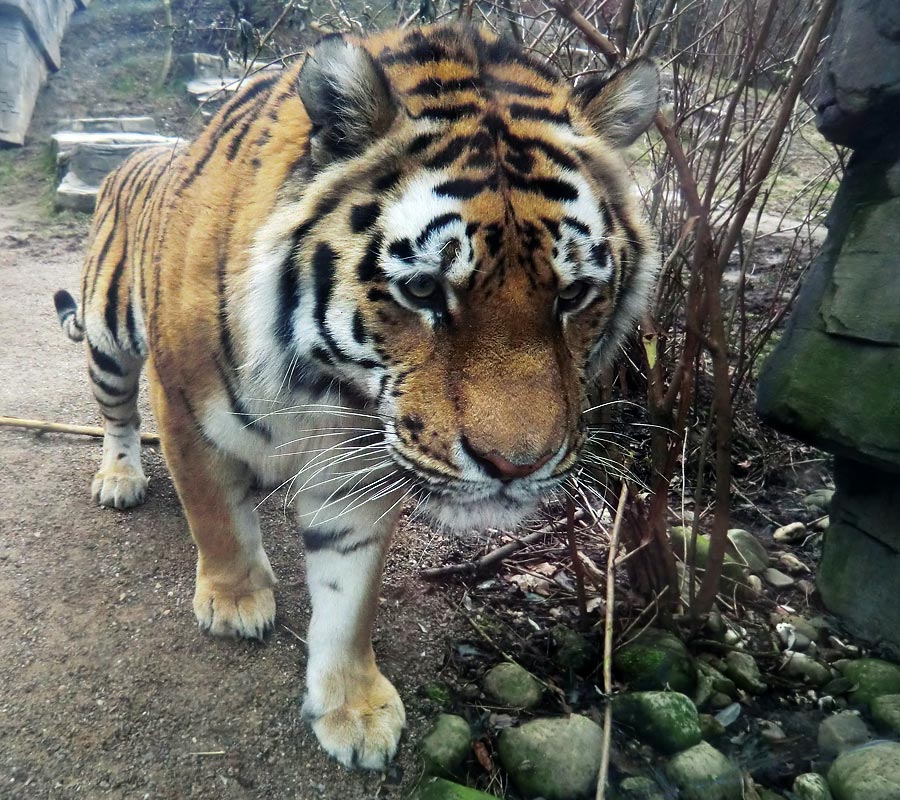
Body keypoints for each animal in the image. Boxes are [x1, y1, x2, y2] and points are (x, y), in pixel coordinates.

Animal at [56, 23, 660, 768]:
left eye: (573, 296)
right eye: (424, 290)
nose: (516, 466)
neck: (323, 384)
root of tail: (134, 155)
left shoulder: (357, 470)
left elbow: (349, 598)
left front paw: (355, 709)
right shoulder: (186, 409)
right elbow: (214, 516)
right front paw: (236, 601)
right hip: (108, 339)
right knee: (115, 412)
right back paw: (119, 478)